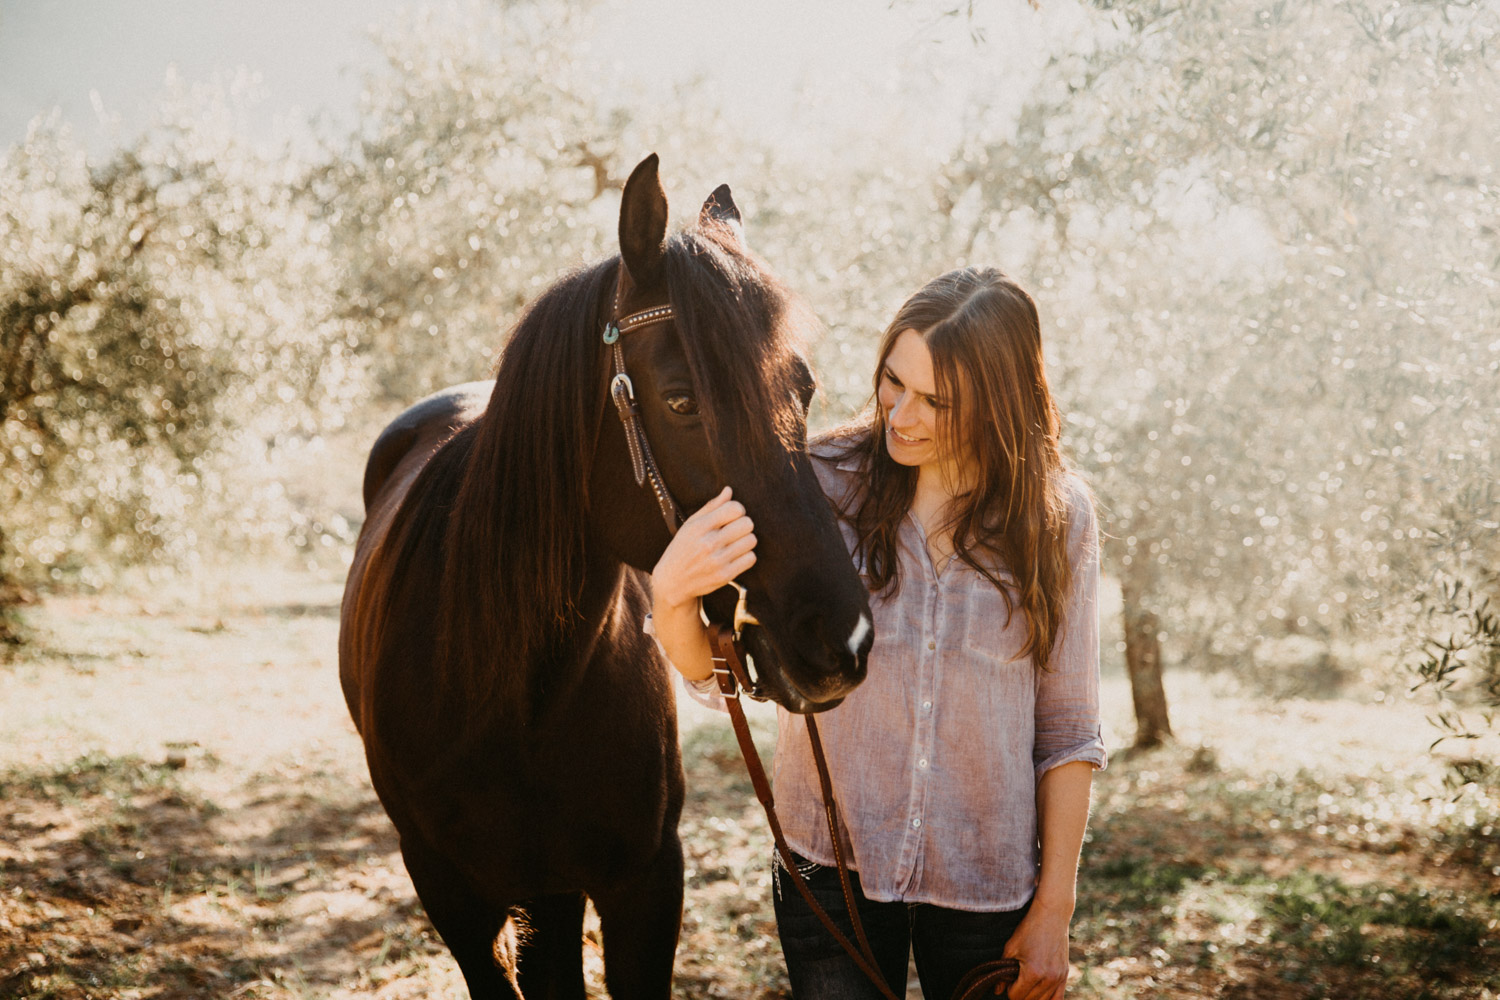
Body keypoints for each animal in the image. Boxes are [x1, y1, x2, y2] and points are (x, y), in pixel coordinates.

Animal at [337, 158, 876, 1000]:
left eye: (804, 389)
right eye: (682, 400)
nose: (842, 638)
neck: (513, 690)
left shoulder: (643, 881)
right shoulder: (450, 893)